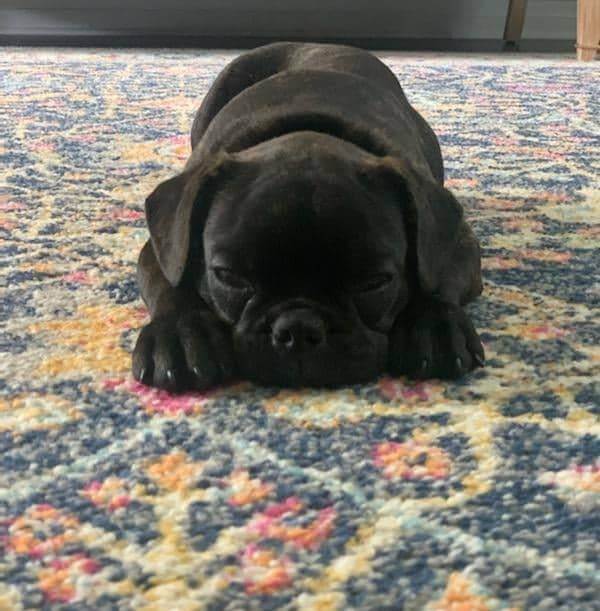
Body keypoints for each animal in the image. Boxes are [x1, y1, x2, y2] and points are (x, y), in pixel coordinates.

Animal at [131, 41, 482, 392]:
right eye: (228, 277)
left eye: (374, 283)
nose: (299, 328)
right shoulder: (164, 245)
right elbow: (171, 284)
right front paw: (182, 335)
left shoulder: (456, 241)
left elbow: (436, 276)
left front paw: (434, 327)